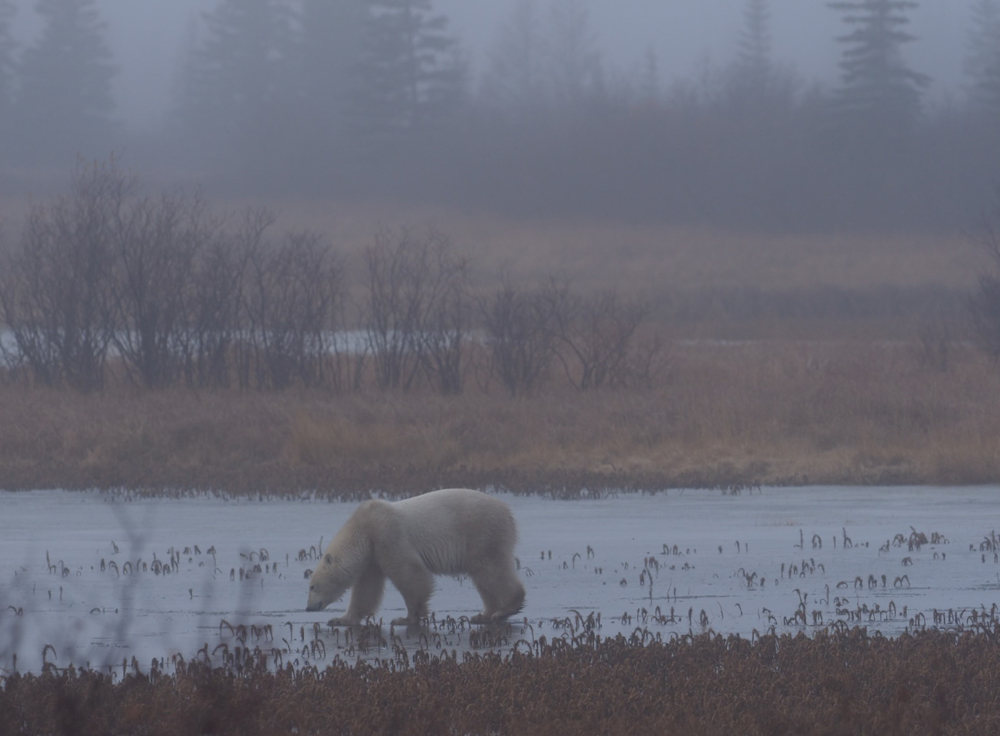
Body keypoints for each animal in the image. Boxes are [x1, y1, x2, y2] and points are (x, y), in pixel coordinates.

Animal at [302, 488, 524, 628]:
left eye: (312, 586)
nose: (309, 607)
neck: (363, 528)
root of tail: (508, 511)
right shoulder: (372, 555)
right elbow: (366, 590)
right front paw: (340, 620)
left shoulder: (387, 534)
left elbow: (410, 574)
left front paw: (406, 618)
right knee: (482, 576)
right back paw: (483, 615)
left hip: (481, 532)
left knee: (491, 569)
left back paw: (506, 608)